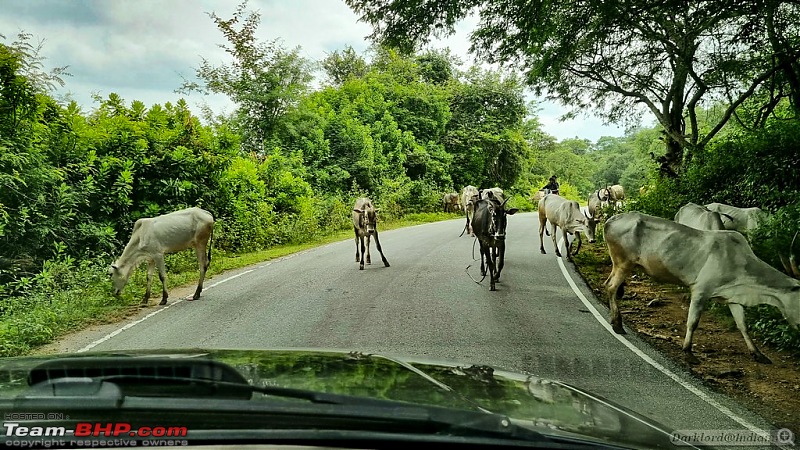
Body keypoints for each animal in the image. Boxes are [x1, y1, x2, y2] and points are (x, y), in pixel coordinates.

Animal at [604, 213, 796, 364]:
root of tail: (611, 219)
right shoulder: (700, 291)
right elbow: (693, 322)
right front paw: (688, 352)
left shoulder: (732, 296)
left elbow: (743, 325)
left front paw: (757, 353)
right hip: (623, 263)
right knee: (612, 287)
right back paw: (617, 323)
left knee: (608, 284)